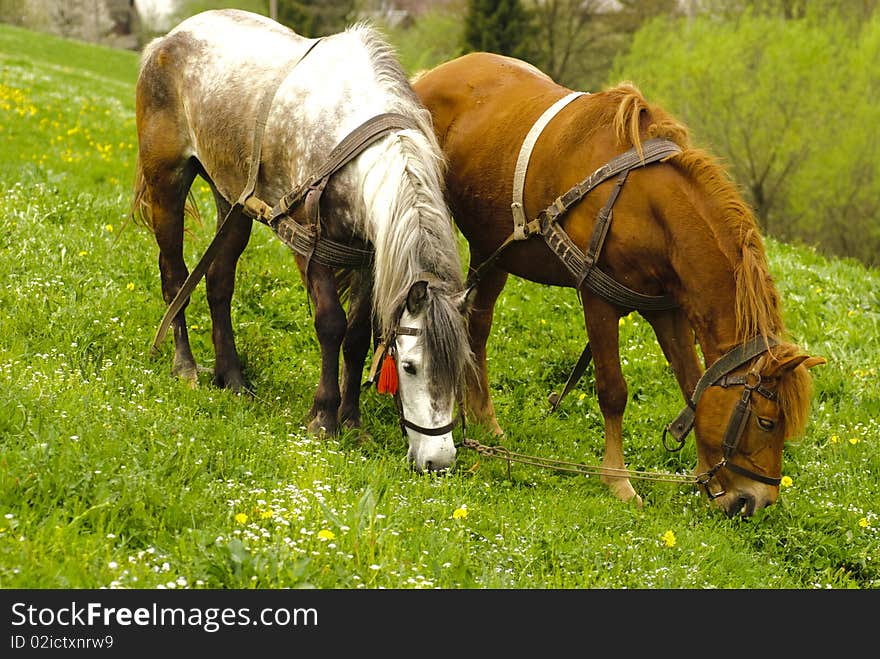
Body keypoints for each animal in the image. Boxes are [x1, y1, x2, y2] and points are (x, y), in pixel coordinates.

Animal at [412, 52, 824, 516]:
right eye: (767, 421)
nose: (755, 501)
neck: (645, 205)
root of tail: (432, 75)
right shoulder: (598, 300)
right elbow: (613, 391)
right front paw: (618, 479)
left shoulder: (667, 310)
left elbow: (692, 385)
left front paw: (706, 477)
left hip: (493, 247)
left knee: (477, 327)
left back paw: (485, 417)